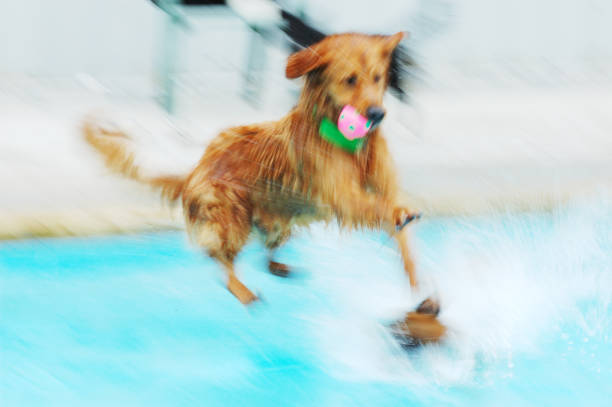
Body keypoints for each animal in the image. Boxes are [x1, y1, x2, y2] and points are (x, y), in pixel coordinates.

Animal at [83, 32, 442, 344]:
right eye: (350, 79)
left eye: (378, 77)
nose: (377, 114)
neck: (355, 147)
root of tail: (192, 173)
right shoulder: (343, 195)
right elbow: (376, 206)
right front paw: (402, 215)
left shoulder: (383, 186)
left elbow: (404, 241)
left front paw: (421, 287)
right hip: (231, 214)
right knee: (221, 260)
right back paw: (242, 290)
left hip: (279, 218)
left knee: (264, 251)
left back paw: (278, 266)